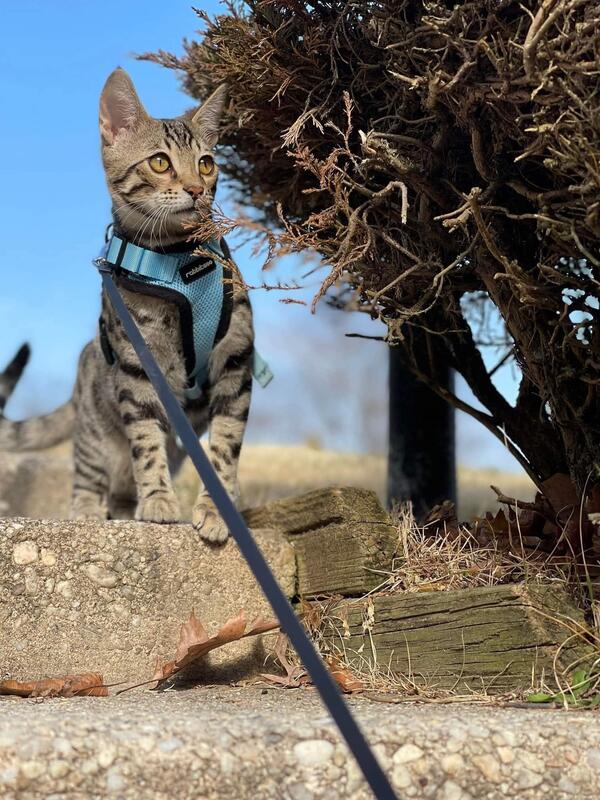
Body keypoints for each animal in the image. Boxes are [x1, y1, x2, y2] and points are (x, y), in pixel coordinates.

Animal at [0, 68, 254, 544]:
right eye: (160, 162)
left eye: (206, 163)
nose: (197, 189)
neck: (179, 263)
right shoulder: (138, 369)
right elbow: (146, 443)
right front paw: (158, 500)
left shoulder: (236, 362)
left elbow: (224, 450)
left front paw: (217, 510)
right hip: (93, 435)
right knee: (88, 478)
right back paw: (86, 513)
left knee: (120, 491)